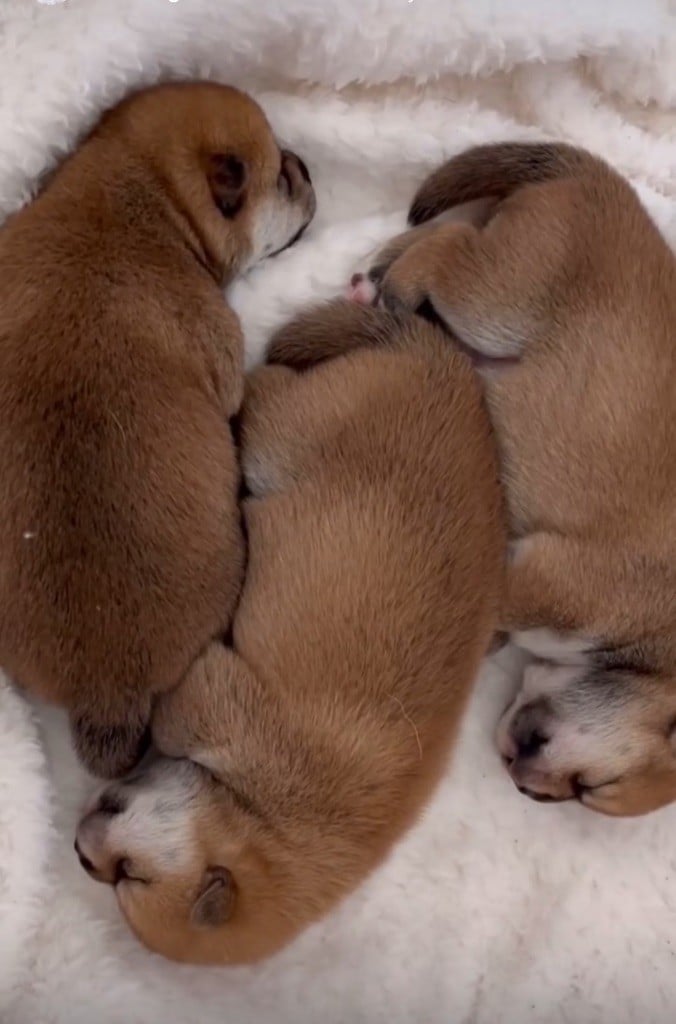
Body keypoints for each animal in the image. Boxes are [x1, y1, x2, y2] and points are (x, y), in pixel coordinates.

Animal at [74, 299, 504, 963]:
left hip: (287, 434)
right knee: (263, 386)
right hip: (295, 433)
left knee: (265, 390)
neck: (261, 823)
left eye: (124, 877)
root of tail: (440, 359)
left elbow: (176, 715)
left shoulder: (218, 697)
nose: (77, 851)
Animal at [348, 142, 676, 816]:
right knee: (446, 251)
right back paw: (390, 286)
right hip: (496, 302)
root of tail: (596, 177)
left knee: (439, 237)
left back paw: (375, 277)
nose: (528, 791)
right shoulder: (551, 582)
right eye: (590, 790)